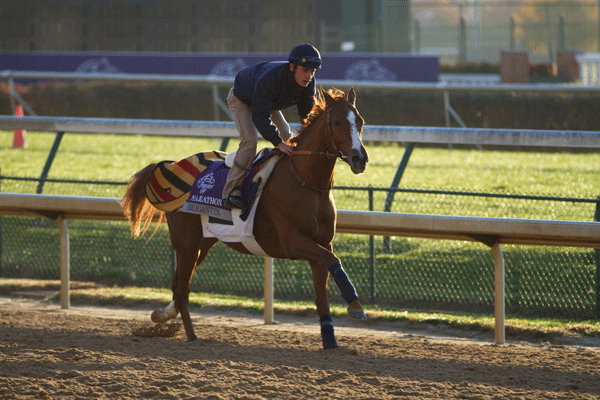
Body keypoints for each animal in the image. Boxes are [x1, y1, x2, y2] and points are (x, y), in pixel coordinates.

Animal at [121, 87, 369, 349]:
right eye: (337, 122)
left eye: (360, 121)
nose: (359, 158)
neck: (305, 181)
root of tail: (169, 165)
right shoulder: (293, 242)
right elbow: (333, 259)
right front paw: (355, 305)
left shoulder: (321, 243)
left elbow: (323, 290)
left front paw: (330, 339)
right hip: (186, 243)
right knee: (182, 289)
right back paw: (191, 336)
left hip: (202, 245)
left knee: (177, 284)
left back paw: (164, 315)